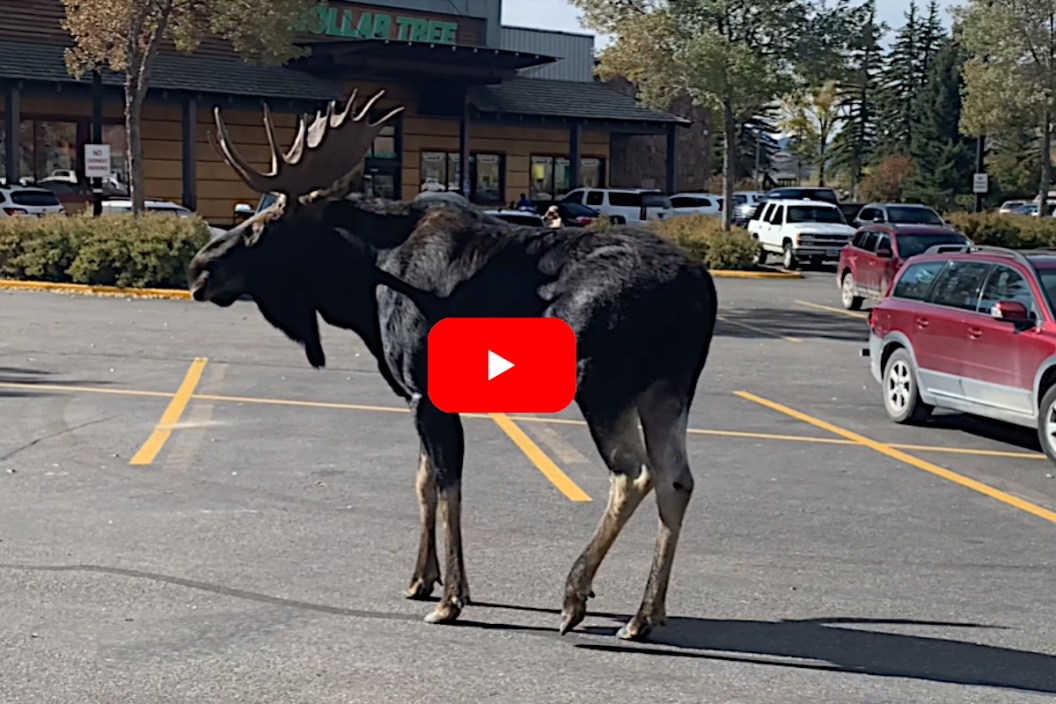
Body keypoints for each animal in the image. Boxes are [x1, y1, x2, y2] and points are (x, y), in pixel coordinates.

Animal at [186, 89, 718, 642]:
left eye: (262, 226)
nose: (198, 269)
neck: (359, 289)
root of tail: (701, 289)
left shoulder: (427, 388)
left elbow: (447, 485)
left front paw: (452, 600)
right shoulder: (416, 395)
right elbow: (423, 481)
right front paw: (421, 578)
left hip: (600, 382)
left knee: (634, 474)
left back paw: (576, 596)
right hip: (667, 387)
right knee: (677, 478)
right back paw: (645, 613)